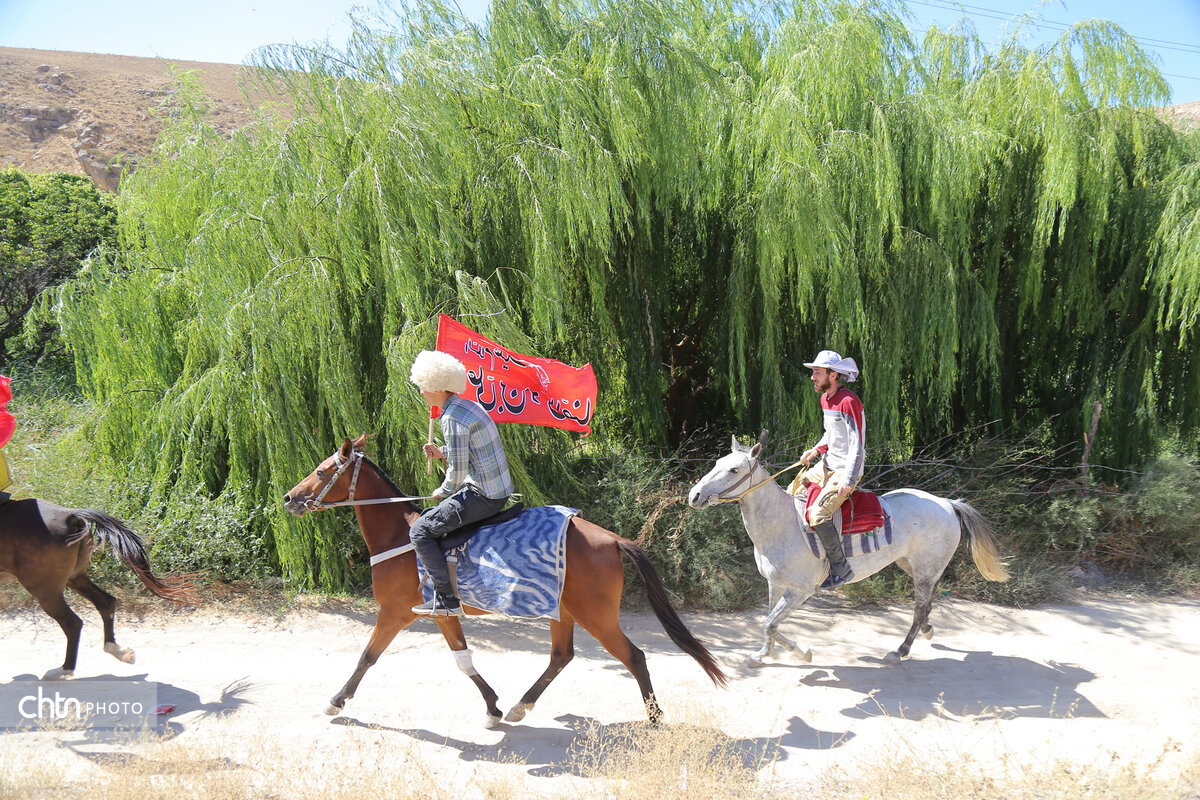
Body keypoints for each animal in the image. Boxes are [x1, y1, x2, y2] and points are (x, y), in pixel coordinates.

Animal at [0, 496, 194, 681]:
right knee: (106, 603)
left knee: (72, 623)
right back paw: (118, 650)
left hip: (45, 590)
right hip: (75, 578)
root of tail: (70, 515)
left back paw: (62, 670)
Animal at [285, 434, 724, 729]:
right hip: (562, 610)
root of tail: (612, 539)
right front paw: (493, 707)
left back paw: (654, 718)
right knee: (561, 656)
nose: (289, 498)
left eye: (322, 471)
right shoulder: (443, 614)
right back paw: (519, 706)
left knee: (635, 657)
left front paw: (336, 701)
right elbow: (463, 660)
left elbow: (367, 657)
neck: (400, 535)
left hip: (597, 616)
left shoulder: (395, 612)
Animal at [686, 434, 1012, 666]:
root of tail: (947, 503)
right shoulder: (774, 584)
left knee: (920, 609)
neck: (781, 524)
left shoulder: (800, 591)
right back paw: (928, 631)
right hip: (912, 565)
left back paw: (900, 651)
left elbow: (769, 624)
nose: (695, 495)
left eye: (734, 469)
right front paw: (763, 655)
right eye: (716, 462)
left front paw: (802, 652)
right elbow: (769, 622)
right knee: (928, 605)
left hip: (925, 569)